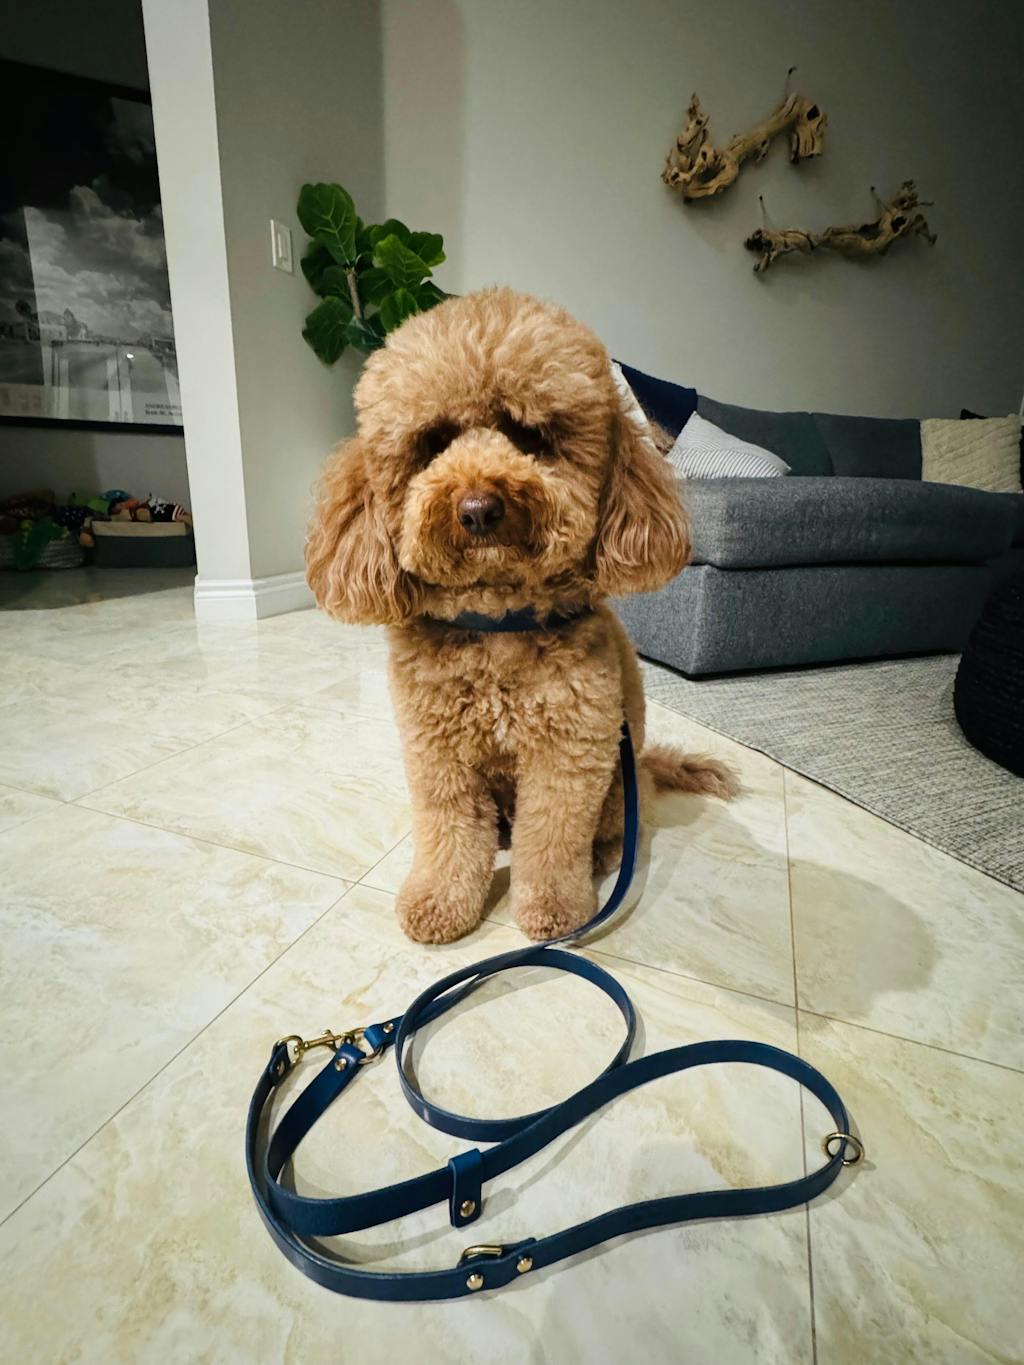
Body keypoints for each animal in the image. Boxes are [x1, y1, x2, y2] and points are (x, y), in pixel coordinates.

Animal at [306, 287, 735, 943]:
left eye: (530, 434)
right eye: (433, 442)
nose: (479, 508)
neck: (498, 623)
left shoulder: (568, 753)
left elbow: (552, 839)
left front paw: (555, 909)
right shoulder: (438, 753)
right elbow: (449, 833)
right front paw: (439, 902)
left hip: (620, 782)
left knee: (611, 830)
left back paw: (603, 857)